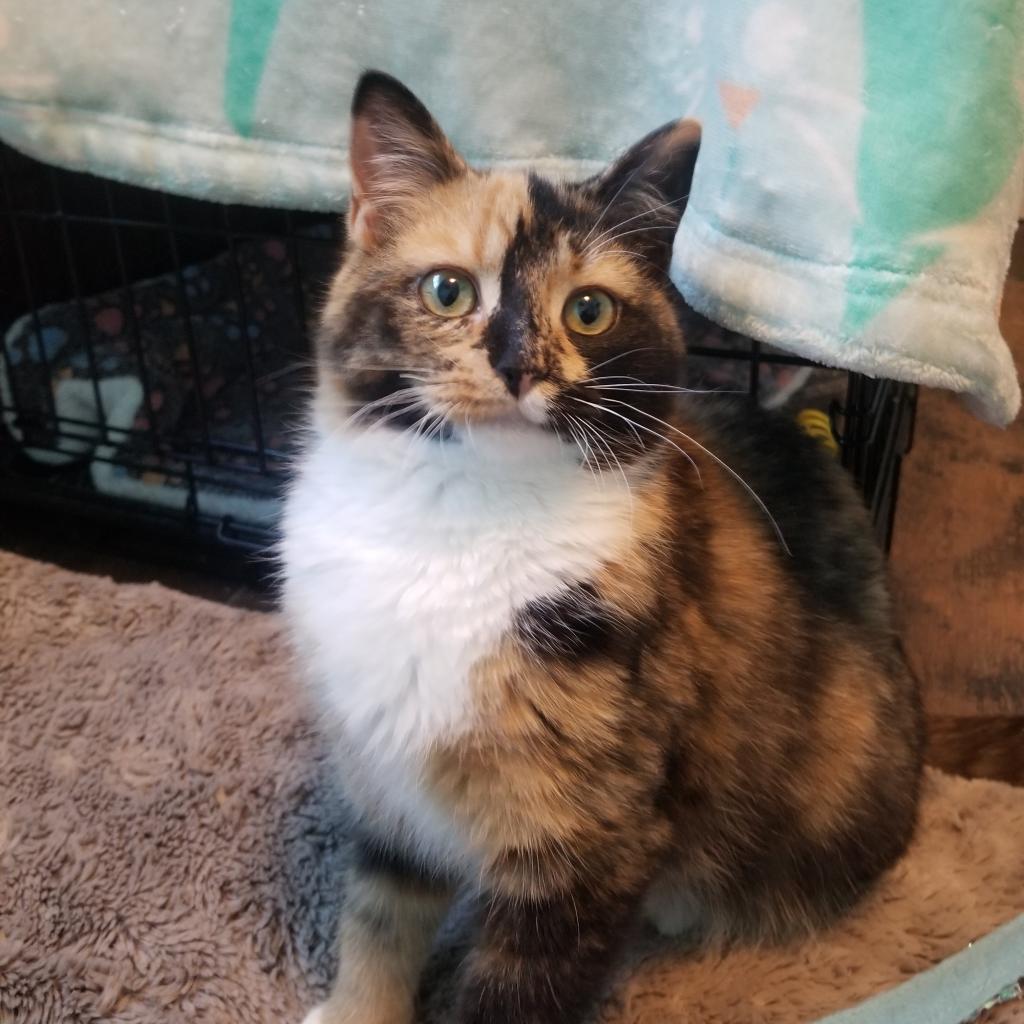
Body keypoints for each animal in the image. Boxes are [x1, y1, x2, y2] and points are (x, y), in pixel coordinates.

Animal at [282, 71, 924, 1024]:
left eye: (588, 310)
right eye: (446, 291)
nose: (520, 365)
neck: (460, 520)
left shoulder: (589, 841)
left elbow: (512, 994)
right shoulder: (383, 780)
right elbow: (378, 913)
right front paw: (358, 1006)